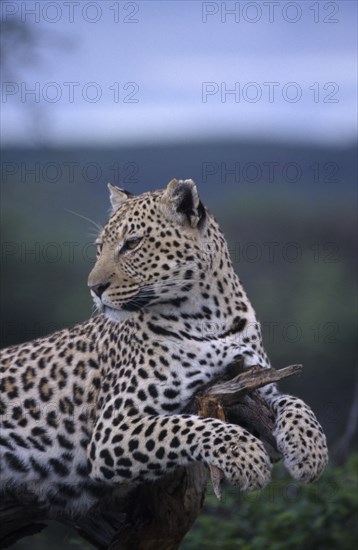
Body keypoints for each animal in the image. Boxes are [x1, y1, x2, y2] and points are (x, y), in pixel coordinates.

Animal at [0, 180, 328, 516]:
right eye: (99, 248)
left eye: (132, 243)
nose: (94, 288)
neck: (210, 318)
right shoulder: (111, 430)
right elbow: (186, 425)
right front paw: (245, 454)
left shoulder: (252, 386)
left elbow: (295, 401)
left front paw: (310, 450)